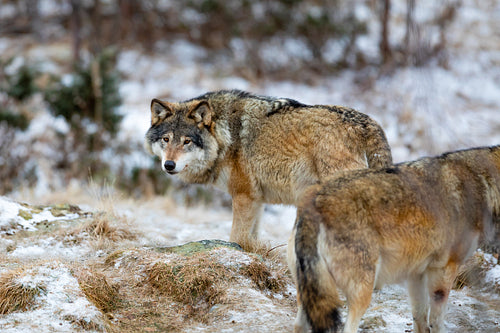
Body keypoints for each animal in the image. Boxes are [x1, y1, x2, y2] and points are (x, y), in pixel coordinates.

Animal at [145, 89, 394, 248]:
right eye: (166, 139)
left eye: (187, 141)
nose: (169, 165)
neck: (226, 137)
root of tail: (367, 121)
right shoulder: (256, 200)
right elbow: (250, 239)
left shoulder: (243, 196)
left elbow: (236, 238)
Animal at [290, 145, 500, 332]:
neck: (485, 184)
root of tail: (315, 200)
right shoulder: (444, 271)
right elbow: (437, 322)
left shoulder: (416, 274)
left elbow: (420, 320)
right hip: (362, 293)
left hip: (311, 297)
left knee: (299, 325)